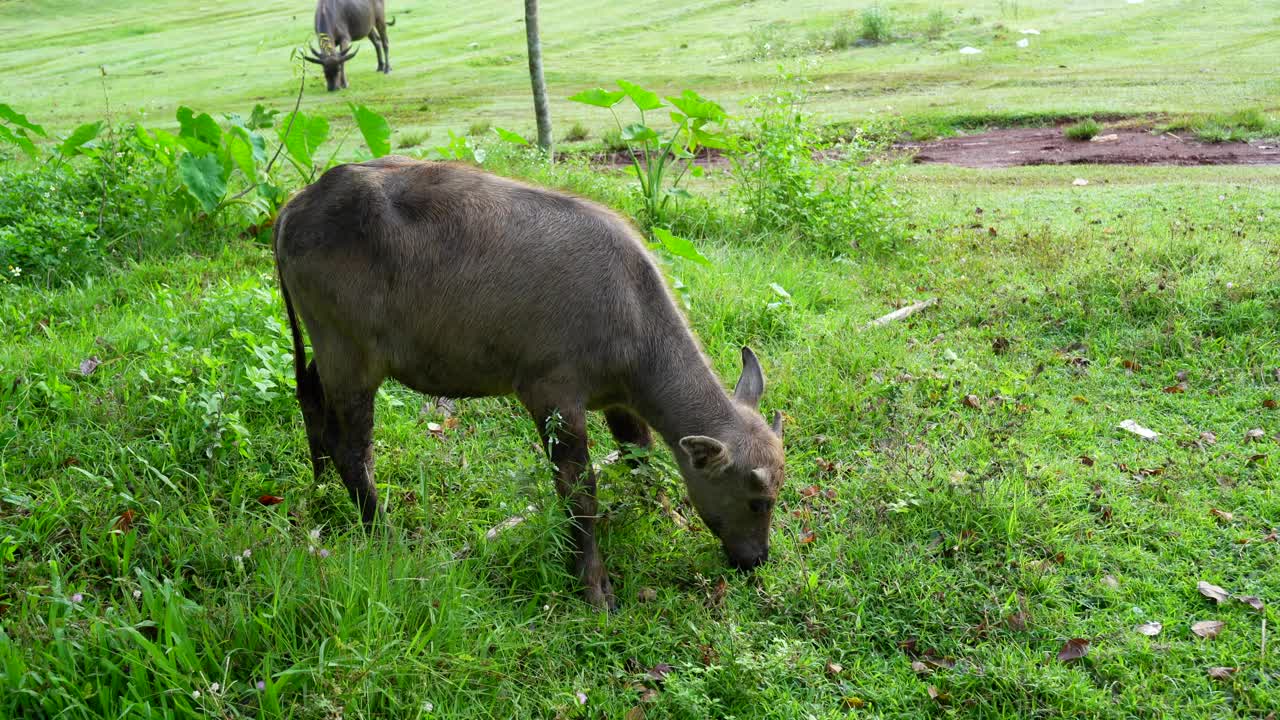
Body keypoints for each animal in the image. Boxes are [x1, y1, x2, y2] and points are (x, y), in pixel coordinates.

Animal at [275, 158, 783, 604]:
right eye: (758, 501)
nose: (757, 559)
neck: (630, 309)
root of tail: (299, 202)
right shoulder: (552, 397)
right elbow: (579, 490)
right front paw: (593, 585)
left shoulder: (618, 402)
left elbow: (640, 454)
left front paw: (664, 514)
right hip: (351, 358)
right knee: (354, 449)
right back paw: (384, 538)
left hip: (327, 351)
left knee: (311, 397)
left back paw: (321, 486)